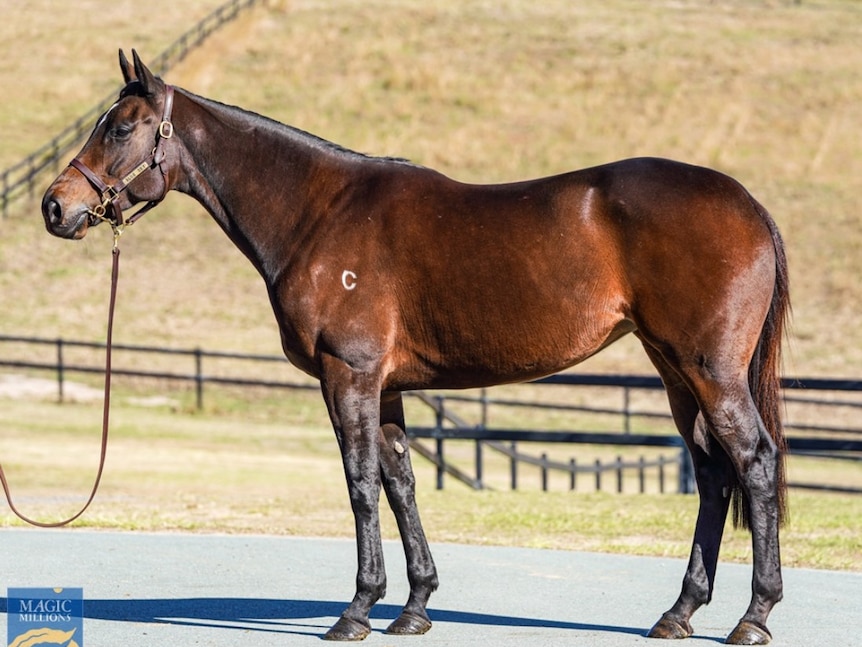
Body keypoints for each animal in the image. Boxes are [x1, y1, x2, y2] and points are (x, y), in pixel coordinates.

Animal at [44, 49, 792, 644]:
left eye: (120, 126)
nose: (56, 206)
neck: (319, 212)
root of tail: (750, 205)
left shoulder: (348, 375)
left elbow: (360, 483)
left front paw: (356, 610)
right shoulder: (390, 387)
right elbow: (400, 480)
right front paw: (414, 606)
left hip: (709, 371)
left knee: (754, 462)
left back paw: (754, 616)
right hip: (674, 372)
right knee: (713, 472)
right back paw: (679, 612)